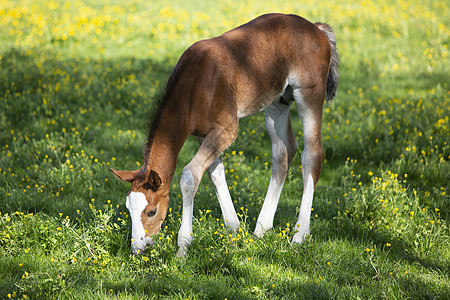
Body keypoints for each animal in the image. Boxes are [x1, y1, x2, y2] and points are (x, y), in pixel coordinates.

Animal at [111, 12, 338, 254]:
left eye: (151, 211)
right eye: (129, 209)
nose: (137, 248)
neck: (196, 85)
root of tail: (316, 27)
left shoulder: (227, 129)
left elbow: (189, 175)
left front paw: (183, 247)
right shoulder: (203, 133)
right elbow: (215, 172)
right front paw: (233, 228)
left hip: (309, 93)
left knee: (312, 154)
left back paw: (300, 234)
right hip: (277, 102)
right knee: (283, 152)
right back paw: (261, 229)